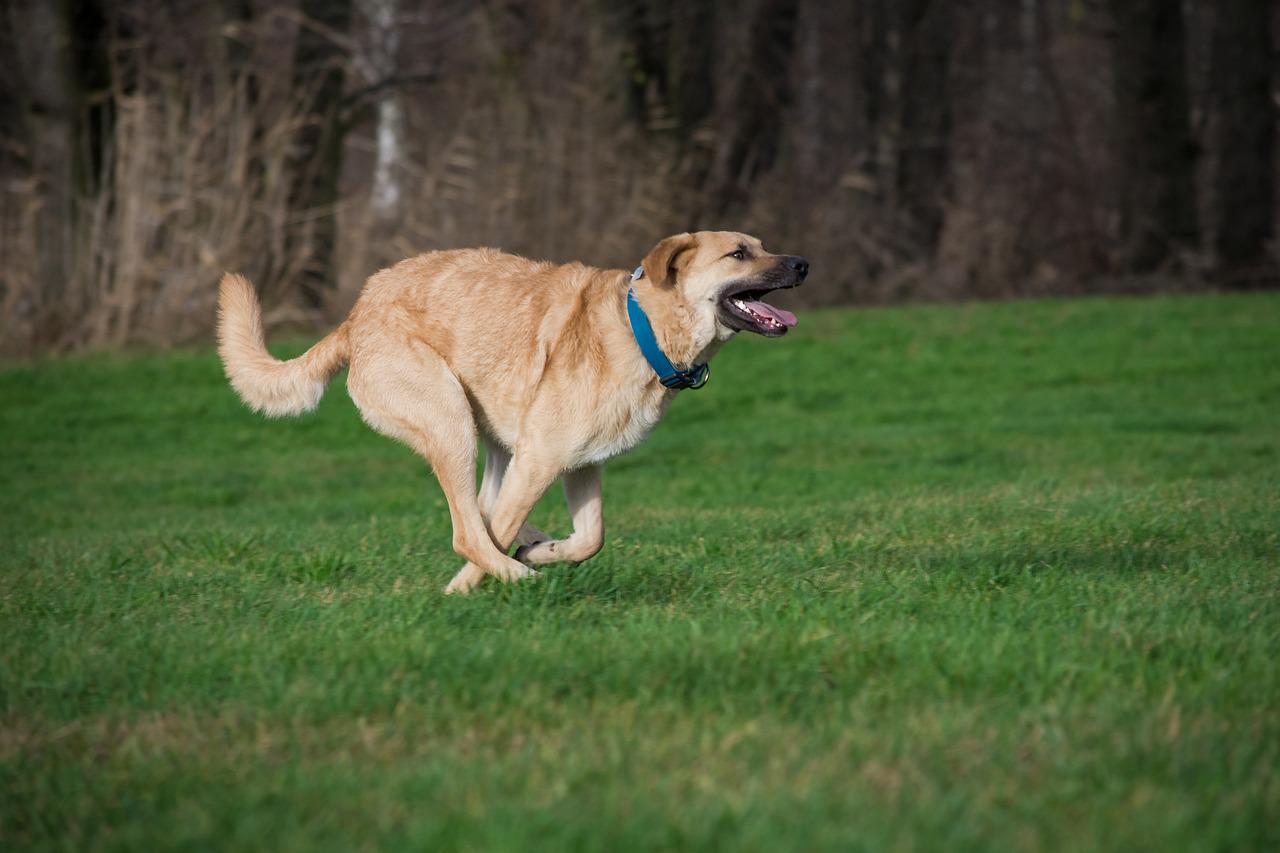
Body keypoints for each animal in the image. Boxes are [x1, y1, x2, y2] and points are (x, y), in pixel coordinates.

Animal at [215, 230, 803, 591]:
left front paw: (541, 552)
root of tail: (355, 316)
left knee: (480, 509)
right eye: (739, 254)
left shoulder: (580, 464)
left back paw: (529, 550)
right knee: (469, 527)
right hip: (451, 421)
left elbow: (590, 538)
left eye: (761, 245)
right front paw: (464, 591)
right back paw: (511, 575)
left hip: (493, 441)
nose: (803, 263)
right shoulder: (541, 458)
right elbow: (491, 534)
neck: (642, 328)